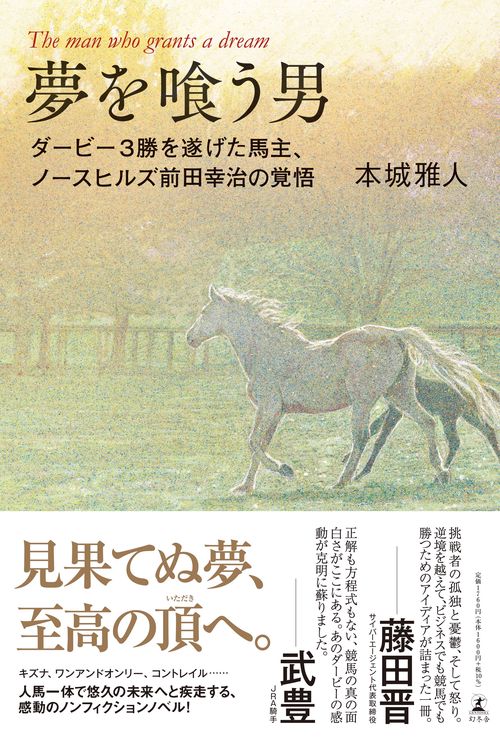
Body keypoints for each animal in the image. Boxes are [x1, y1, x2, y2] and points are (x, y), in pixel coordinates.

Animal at [343, 375, 500, 479]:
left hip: (449, 417)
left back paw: (440, 474)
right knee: (488, 430)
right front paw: (347, 457)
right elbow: (374, 426)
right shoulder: (393, 408)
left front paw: (362, 472)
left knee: (455, 441)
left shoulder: (396, 411)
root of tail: (479, 387)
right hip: (468, 414)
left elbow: (380, 439)